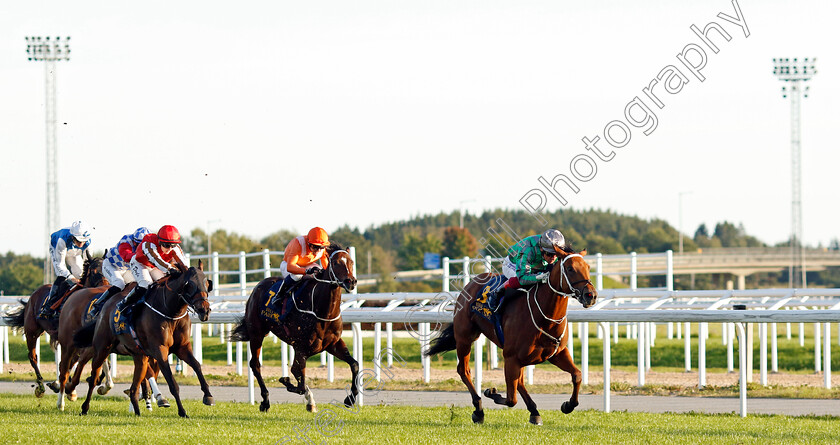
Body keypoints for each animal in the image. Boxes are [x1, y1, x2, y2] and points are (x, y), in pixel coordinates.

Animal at [2, 255, 107, 398]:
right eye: (94, 272)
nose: (106, 287)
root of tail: (34, 294)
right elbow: (70, 360)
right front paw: (64, 385)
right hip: (32, 332)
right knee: (33, 357)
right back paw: (40, 386)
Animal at [74, 260, 213, 416]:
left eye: (207, 283)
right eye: (189, 285)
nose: (204, 310)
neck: (170, 312)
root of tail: (106, 305)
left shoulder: (182, 347)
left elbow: (197, 365)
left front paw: (208, 396)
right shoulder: (160, 350)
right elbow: (172, 383)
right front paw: (182, 411)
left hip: (140, 357)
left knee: (134, 388)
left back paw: (137, 412)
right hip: (102, 348)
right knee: (93, 378)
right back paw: (84, 408)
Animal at [230, 243, 358, 412]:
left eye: (351, 262)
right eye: (336, 263)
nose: (351, 281)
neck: (322, 310)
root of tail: (258, 286)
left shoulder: (332, 344)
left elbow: (354, 365)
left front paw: (350, 398)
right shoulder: (302, 349)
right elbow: (300, 382)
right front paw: (287, 382)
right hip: (257, 333)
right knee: (255, 364)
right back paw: (265, 401)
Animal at [426, 246, 596, 424]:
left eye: (588, 267)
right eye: (570, 269)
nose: (591, 295)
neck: (544, 317)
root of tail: (471, 283)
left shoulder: (557, 353)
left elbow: (577, 375)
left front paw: (568, 405)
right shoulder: (510, 357)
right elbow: (510, 399)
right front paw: (491, 392)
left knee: (519, 381)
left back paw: (534, 411)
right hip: (465, 338)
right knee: (464, 370)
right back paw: (479, 410)